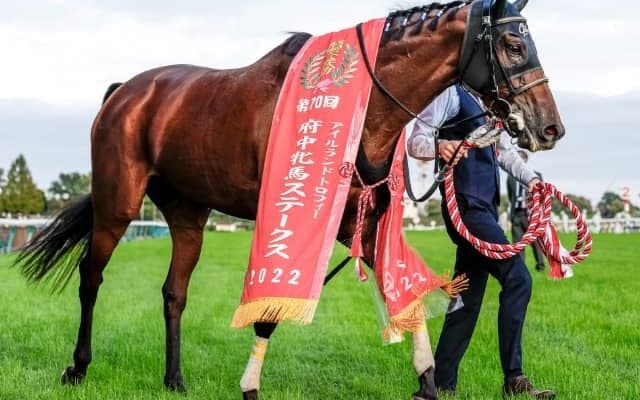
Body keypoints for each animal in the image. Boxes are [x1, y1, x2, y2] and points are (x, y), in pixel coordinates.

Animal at [14, 0, 564, 399]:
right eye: (514, 43)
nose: (549, 126)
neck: (363, 107)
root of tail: (125, 91)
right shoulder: (302, 216)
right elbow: (271, 304)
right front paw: (250, 384)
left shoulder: (362, 218)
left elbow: (401, 291)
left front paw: (428, 379)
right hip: (118, 203)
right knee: (91, 276)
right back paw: (77, 367)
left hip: (188, 214)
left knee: (174, 292)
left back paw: (174, 378)